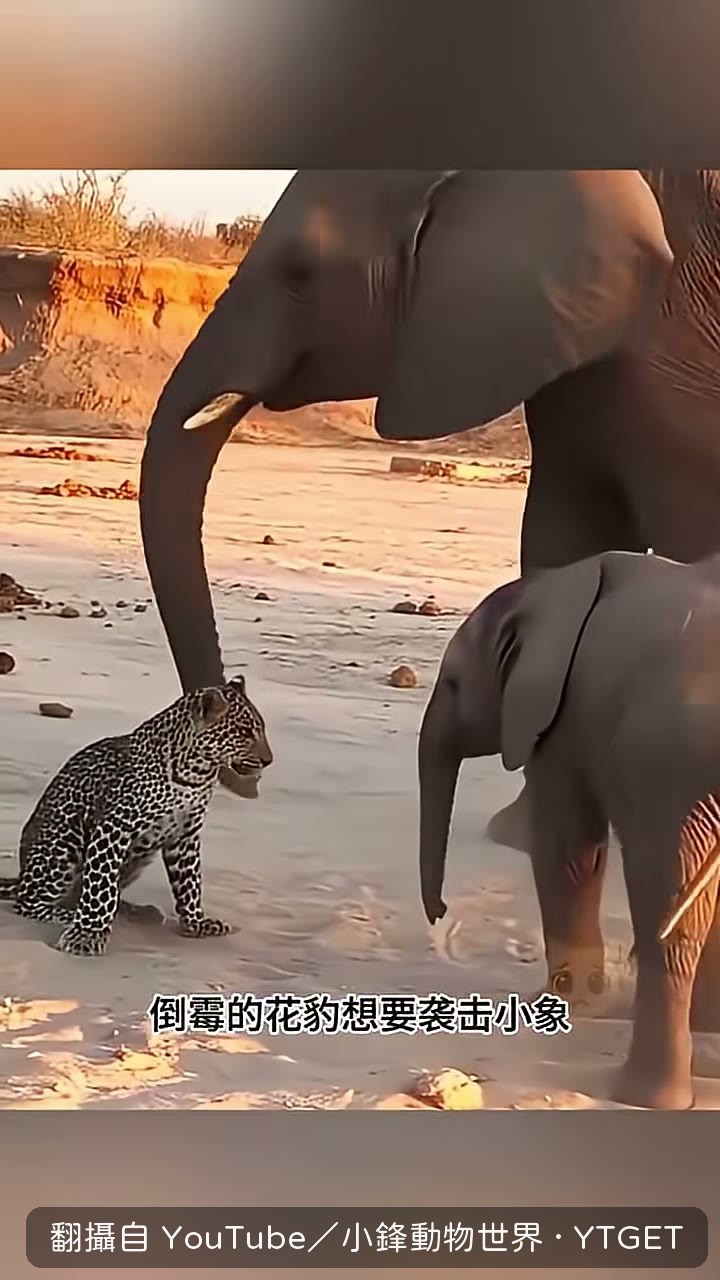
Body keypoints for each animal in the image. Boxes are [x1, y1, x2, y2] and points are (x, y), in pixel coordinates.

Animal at [417, 547, 720, 1110]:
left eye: (452, 683)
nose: (441, 913)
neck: (548, 590)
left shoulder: (560, 719)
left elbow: (569, 844)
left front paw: (558, 1004)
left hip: (670, 761)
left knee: (667, 911)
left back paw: (644, 1095)